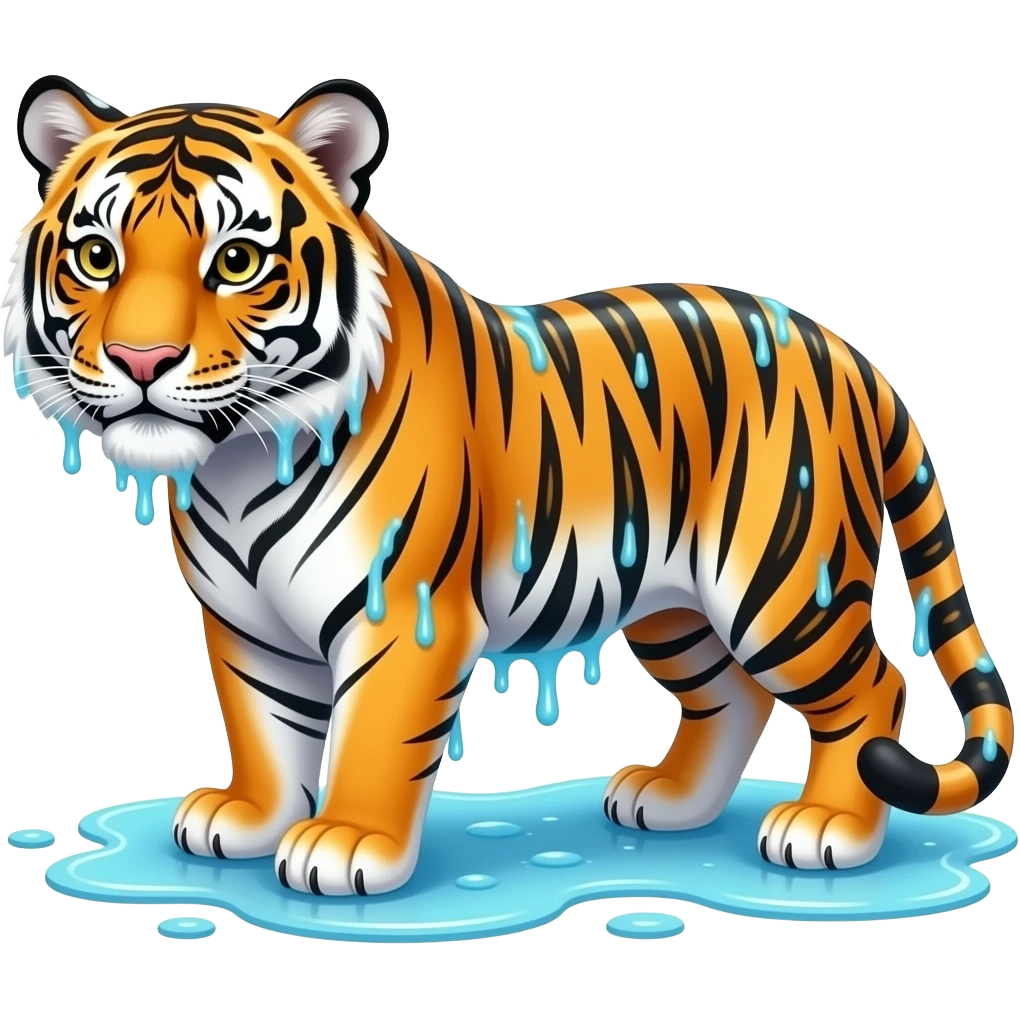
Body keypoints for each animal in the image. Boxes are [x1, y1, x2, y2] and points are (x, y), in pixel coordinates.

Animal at [4, 73, 1013, 899]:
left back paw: (827, 829)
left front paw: (345, 844)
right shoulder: (247, 624)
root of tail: (846, 351)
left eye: (237, 262)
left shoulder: (403, 614)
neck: (239, 463)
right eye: (98, 257)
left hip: (777, 582)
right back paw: (669, 801)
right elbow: (265, 727)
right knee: (732, 695)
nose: (140, 359)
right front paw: (248, 818)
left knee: (872, 687)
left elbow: (372, 738)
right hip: (674, 603)